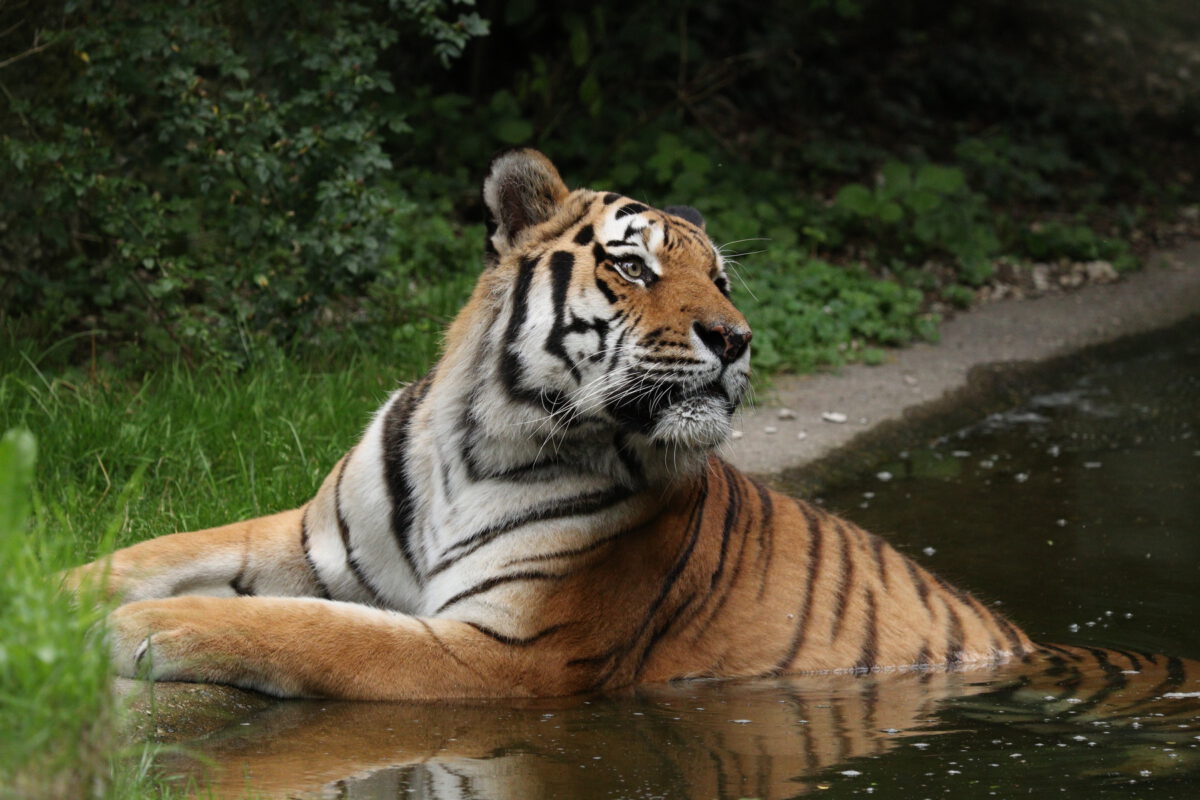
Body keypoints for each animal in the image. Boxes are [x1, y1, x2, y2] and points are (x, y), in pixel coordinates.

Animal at [68, 146, 1200, 705]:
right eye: (635, 264)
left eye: (722, 278)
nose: (736, 338)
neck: (476, 437)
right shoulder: (306, 542)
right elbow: (163, 547)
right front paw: (62, 591)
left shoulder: (504, 654)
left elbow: (305, 631)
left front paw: (137, 633)